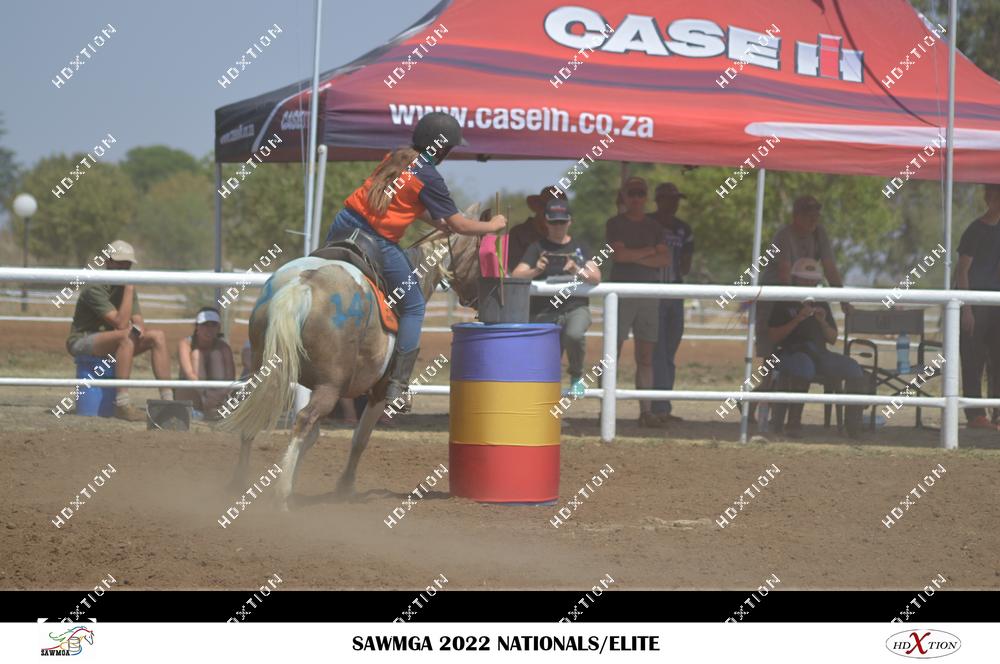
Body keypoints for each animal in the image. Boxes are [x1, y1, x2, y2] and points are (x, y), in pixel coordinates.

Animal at [222, 221, 481, 510]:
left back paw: (240, 483)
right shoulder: (378, 390)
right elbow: (360, 438)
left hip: (263, 372)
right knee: (303, 421)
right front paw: (344, 487)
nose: (479, 300)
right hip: (329, 388)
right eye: (482, 254)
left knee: (254, 414)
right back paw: (282, 497)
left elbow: (313, 437)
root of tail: (303, 284)